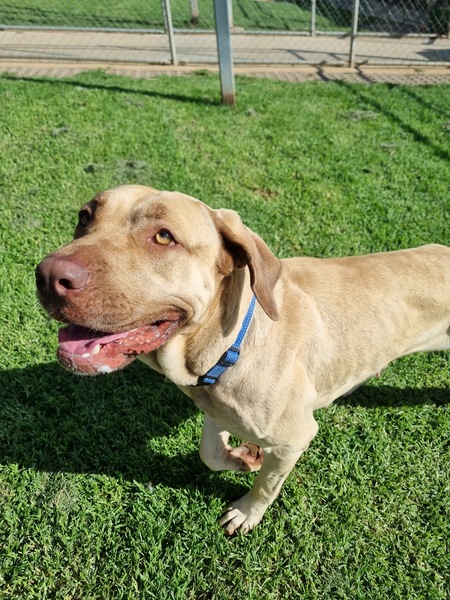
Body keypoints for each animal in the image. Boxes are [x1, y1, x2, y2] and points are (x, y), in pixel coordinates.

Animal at [36, 185, 450, 535]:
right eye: (85, 216)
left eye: (164, 236)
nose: (48, 276)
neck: (231, 345)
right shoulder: (214, 405)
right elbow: (210, 453)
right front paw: (241, 458)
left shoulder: (295, 437)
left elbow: (267, 484)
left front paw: (247, 512)